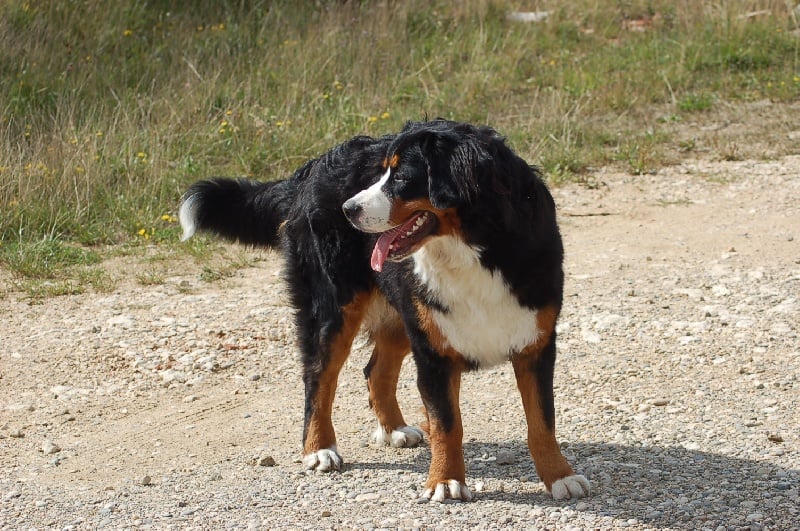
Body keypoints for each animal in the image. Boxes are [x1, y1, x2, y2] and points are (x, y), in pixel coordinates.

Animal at [179, 119, 589, 502]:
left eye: (402, 177)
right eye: (380, 173)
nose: (348, 209)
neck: (474, 249)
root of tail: (311, 169)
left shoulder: (535, 343)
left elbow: (541, 421)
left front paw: (560, 476)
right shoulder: (433, 351)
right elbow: (448, 424)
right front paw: (445, 481)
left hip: (400, 315)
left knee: (377, 372)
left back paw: (394, 429)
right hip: (333, 309)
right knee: (319, 378)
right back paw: (319, 449)